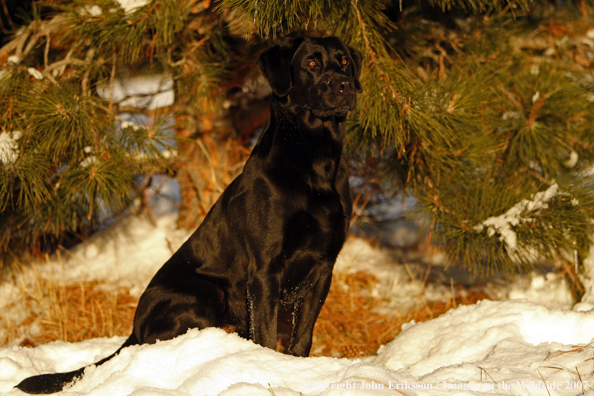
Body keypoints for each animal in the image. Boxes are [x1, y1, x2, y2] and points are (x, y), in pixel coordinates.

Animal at [17, 36, 360, 392]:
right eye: (311, 63)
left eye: (344, 62)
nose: (346, 85)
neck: (315, 161)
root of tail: (134, 329)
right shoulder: (266, 268)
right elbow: (265, 334)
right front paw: (269, 369)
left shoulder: (323, 266)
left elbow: (302, 335)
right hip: (207, 292)